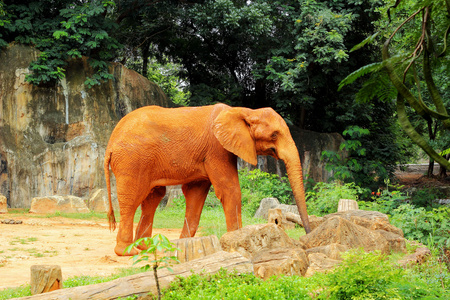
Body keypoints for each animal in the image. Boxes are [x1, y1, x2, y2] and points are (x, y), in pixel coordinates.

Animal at [104, 103, 312, 255]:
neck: (244, 111)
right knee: (132, 199)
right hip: (131, 160)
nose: (307, 237)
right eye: (274, 135)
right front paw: (235, 243)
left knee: (153, 197)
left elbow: (195, 194)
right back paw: (128, 252)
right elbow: (230, 190)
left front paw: (184, 244)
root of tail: (110, 143)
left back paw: (147, 248)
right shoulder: (217, 149)